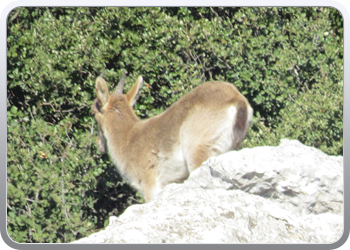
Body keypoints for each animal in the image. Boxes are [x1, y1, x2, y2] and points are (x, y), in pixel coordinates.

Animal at [91, 72, 253, 201]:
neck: (128, 138)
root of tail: (236, 99)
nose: (99, 145)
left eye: (94, 110)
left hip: (199, 153)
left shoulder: (150, 185)